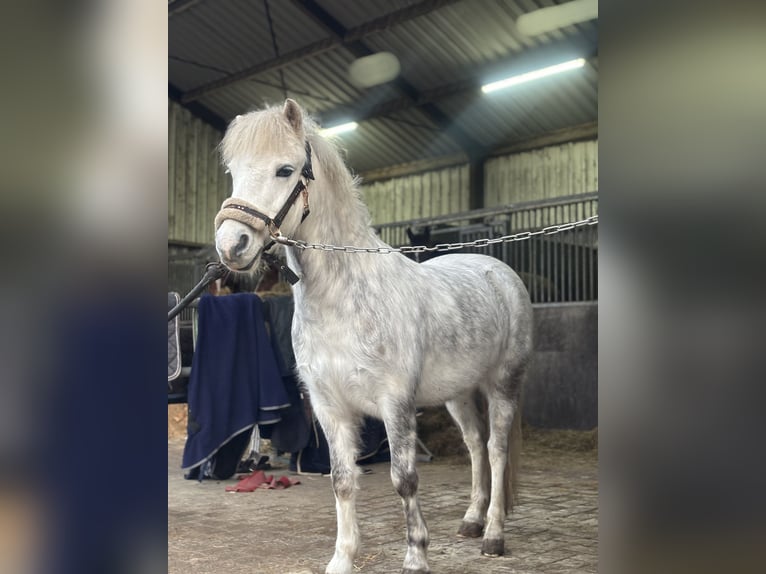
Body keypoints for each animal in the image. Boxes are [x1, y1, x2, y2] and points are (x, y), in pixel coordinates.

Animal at [213, 101, 532, 572]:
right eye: (233, 170)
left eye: (285, 170)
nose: (231, 245)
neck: (343, 299)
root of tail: (500, 272)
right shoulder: (329, 407)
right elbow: (342, 480)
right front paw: (342, 559)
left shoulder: (395, 403)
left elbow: (405, 478)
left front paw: (416, 555)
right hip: (457, 393)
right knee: (475, 445)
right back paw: (472, 521)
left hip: (504, 384)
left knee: (495, 448)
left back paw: (493, 535)